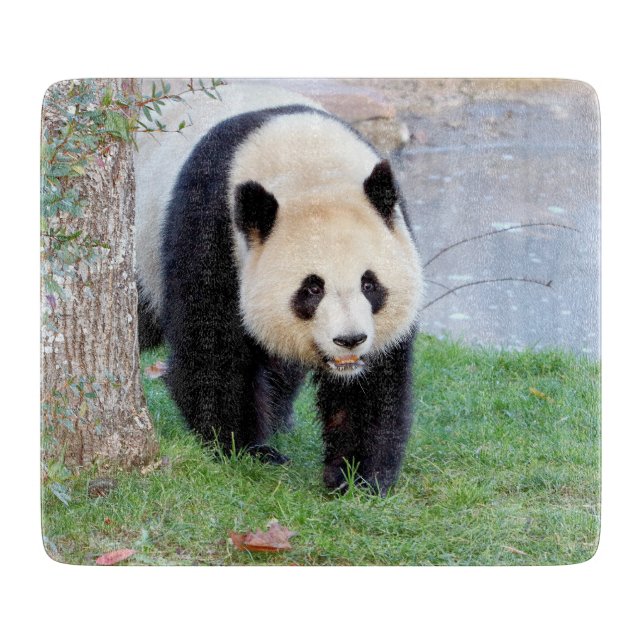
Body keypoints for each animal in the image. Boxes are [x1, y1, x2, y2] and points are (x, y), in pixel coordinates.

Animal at [134, 83, 424, 495]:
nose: (349, 340)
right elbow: (212, 349)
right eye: (312, 289)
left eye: (370, 284)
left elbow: (373, 382)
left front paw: (356, 476)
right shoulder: (212, 227)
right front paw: (244, 448)